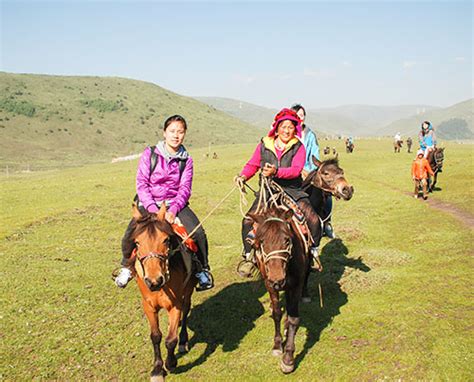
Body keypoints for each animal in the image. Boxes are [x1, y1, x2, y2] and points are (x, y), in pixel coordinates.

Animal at [128, 204, 196, 382]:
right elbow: (156, 336)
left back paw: (183, 340)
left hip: (189, 289)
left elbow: (171, 339)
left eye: (166, 240)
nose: (154, 281)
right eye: (137, 242)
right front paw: (157, 369)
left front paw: (170, 364)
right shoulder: (149, 306)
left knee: (186, 310)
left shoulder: (175, 305)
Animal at [246, 206, 310, 374]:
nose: (277, 279)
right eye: (261, 241)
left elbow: (294, 318)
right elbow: (276, 313)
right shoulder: (270, 285)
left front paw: (288, 358)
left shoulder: (296, 284)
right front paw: (277, 345)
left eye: (287, 240)